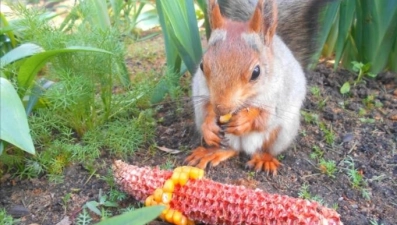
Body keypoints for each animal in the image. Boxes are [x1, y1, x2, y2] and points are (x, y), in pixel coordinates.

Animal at [184, 0, 330, 175]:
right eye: (202, 66)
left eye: (256, 72)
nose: (221, 108)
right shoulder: (202, 91)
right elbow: (206, 107)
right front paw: (209, 125)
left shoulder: (277, 98)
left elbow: (264, 117)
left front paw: (244, 120)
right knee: (231, 149)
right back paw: (213, 152)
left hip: (282, 133)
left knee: (263, 148)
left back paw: (264, 159)